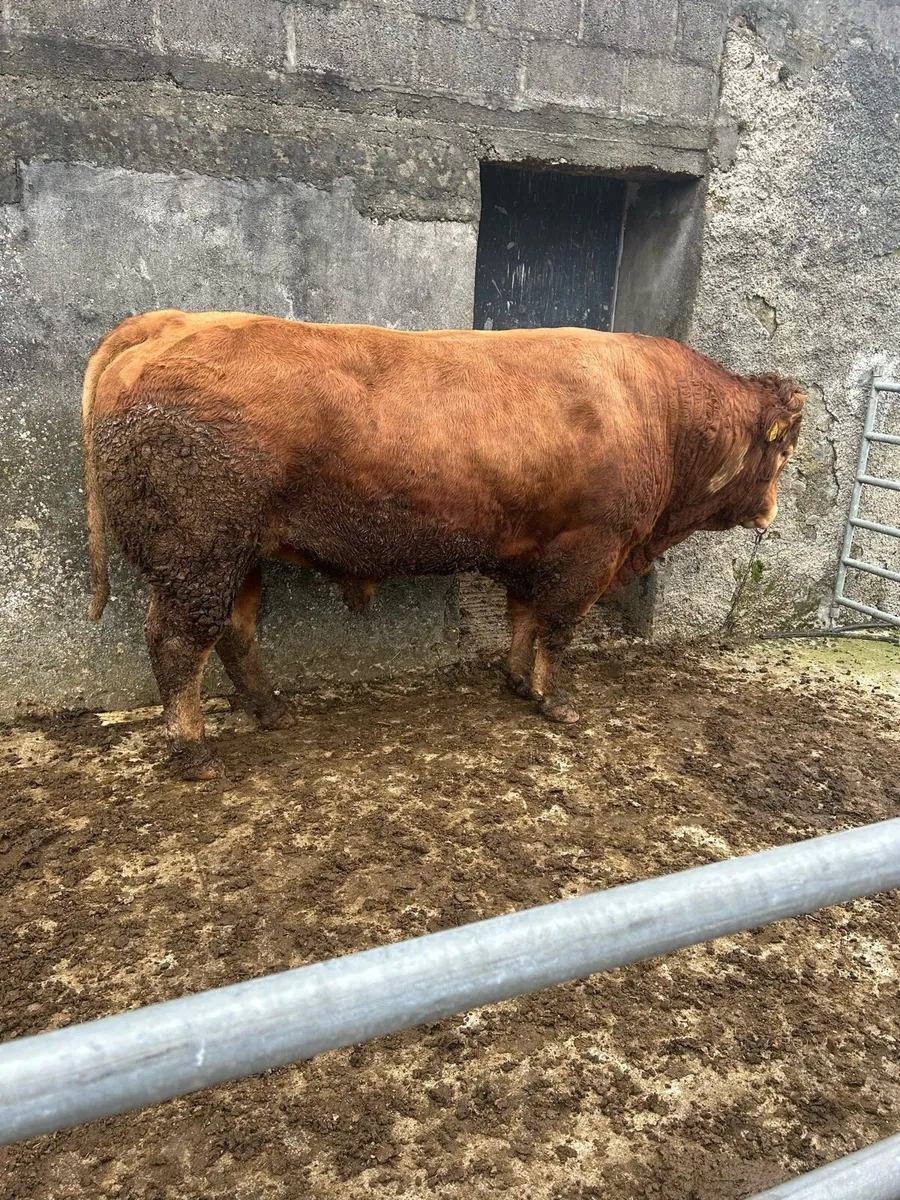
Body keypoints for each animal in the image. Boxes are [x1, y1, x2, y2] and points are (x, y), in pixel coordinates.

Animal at [82, 309, 804, 779]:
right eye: (786, 448)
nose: (770, 513)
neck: (657, 409)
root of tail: (172, 323)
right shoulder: (590, 549)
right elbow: (559, 629)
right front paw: (558, 704)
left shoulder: (531, 552)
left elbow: (524, 619)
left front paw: (517, 680)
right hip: (198, 555)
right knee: (180, 643)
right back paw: (194, 752)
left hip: (238, 555)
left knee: (233, 634)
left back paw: (273, 712)